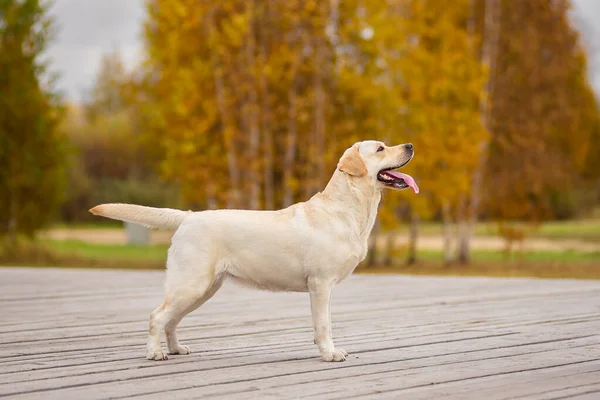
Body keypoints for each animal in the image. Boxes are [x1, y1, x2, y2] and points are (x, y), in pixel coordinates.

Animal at [90, 140, 418, 362]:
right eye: (380, 148)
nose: (410, 145)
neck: (346, 209)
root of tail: (188, 216)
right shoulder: (320, 284)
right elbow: (323, 325)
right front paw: (329, 353)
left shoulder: (324, 288)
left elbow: (323, 323)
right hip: (191, 283)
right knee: (156, 317)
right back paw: (155, 353)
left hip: (203, 288)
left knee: (171, 319)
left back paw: (176, 348)